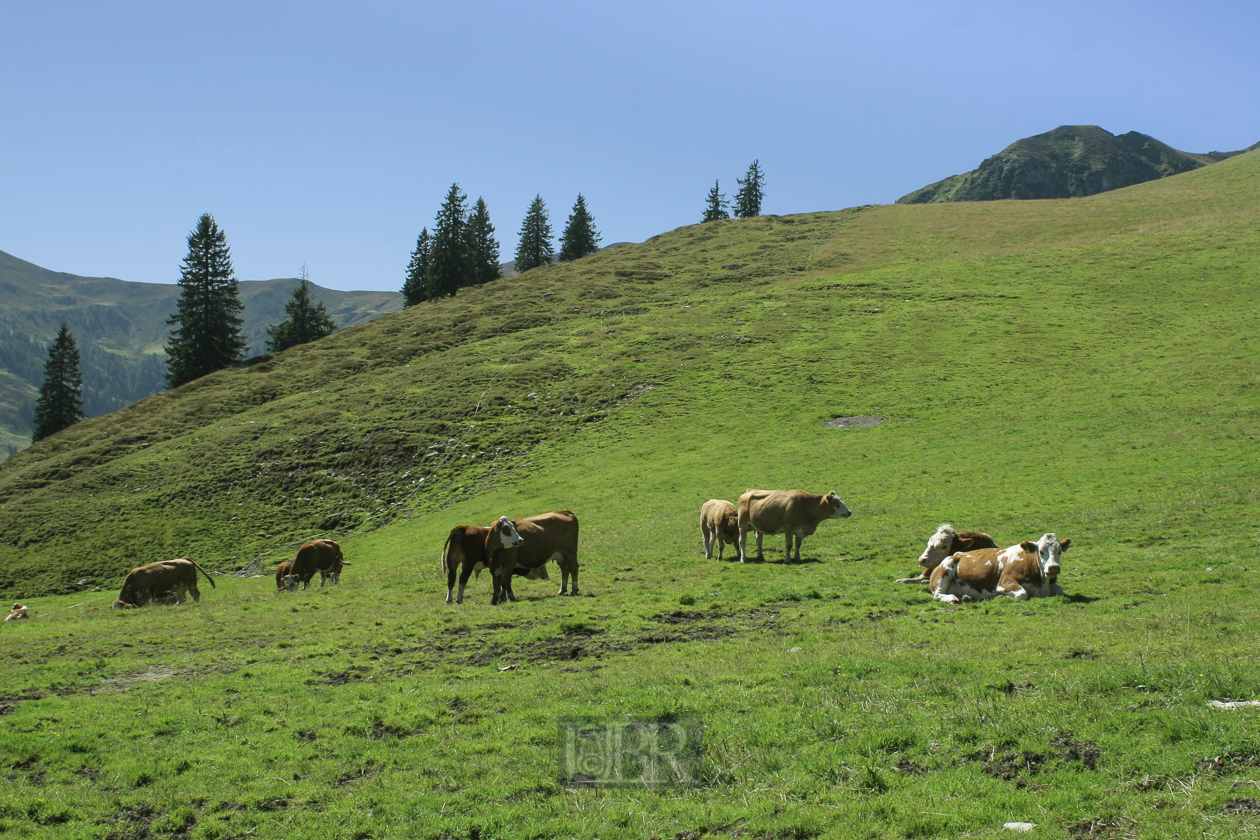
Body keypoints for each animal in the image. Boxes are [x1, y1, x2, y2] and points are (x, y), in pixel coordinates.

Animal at [927, 531, 1073, 604]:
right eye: (1041, 551)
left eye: (1060, 551)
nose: (1053, 568)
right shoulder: (1005, 582)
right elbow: (1022, 594)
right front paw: (1000, 597)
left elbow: (1060, 590)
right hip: (945, 571)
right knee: (938, 594)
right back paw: (951, 598)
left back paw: (967, 597)